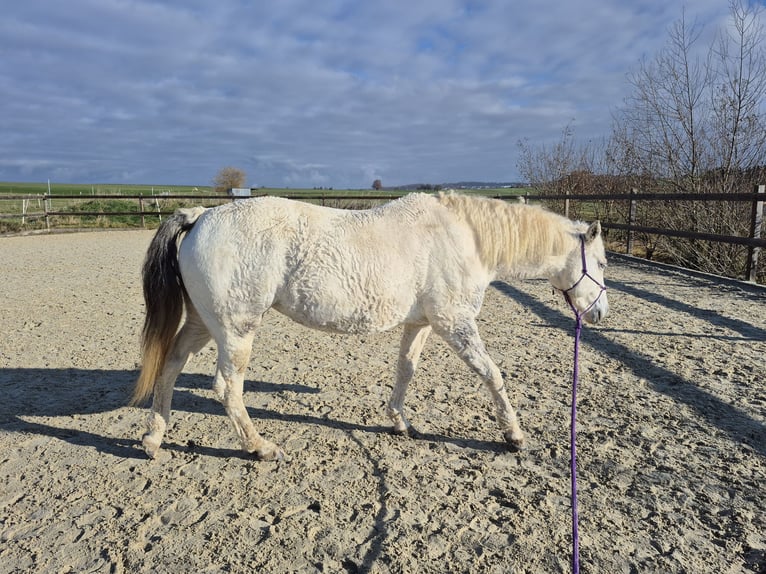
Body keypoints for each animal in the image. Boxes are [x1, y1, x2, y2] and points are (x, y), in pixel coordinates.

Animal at [131, 192, 608, 460]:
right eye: (602, 263)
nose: (600, 314)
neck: (462, 237)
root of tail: (202, 215)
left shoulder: (422, 323)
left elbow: (406, 370)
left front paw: (399, 422)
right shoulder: (455, 323)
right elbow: (492, 374)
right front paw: (514, 435)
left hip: (203, 322)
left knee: (171, 364)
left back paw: (154, 438)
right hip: (236, 329)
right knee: (227, 387)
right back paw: (260, 448)